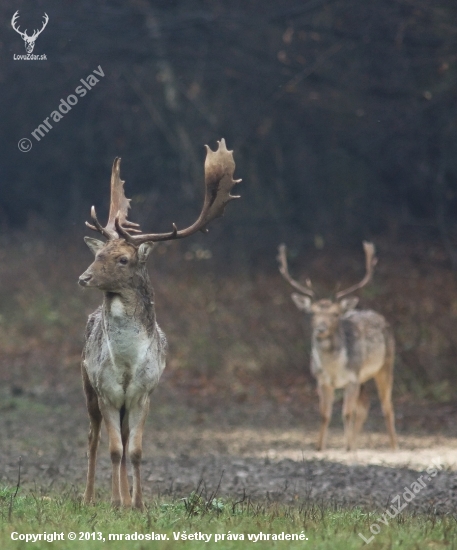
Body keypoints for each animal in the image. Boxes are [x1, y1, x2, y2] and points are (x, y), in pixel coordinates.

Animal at [79, 140, 240, 512]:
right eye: (98, 254)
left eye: (123, 259)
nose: (84, 277)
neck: (126, 365)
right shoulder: (107, 392)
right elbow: (113, 449)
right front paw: (115, 502)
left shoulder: (144, 394)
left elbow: (135, 451)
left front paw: (137, 504)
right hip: (87, 386)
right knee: (94, 438)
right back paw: (90, 497)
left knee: (124, 441)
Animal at [276, 245, 398, 452]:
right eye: (312, 313)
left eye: (335, 314)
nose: (321, 329)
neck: (334, 369)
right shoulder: (321, 380)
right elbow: (324, 414)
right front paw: (320, 447)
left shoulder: (352, 379)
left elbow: (347, 413)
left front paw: (347, 447)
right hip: (363, 379)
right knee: (365, 406)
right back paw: (356, 443)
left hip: (385, 365)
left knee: (386, 405)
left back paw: (393, 446)